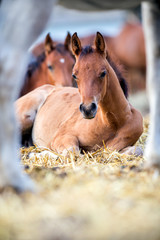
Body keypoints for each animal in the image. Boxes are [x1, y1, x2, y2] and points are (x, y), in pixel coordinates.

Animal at [0, 0, 159, 191]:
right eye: (75, 74)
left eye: (103, 73)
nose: (88, 109)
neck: (112, 122)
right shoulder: (63, 137)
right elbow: (73, 154)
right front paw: (40, 155)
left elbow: (135, 150)